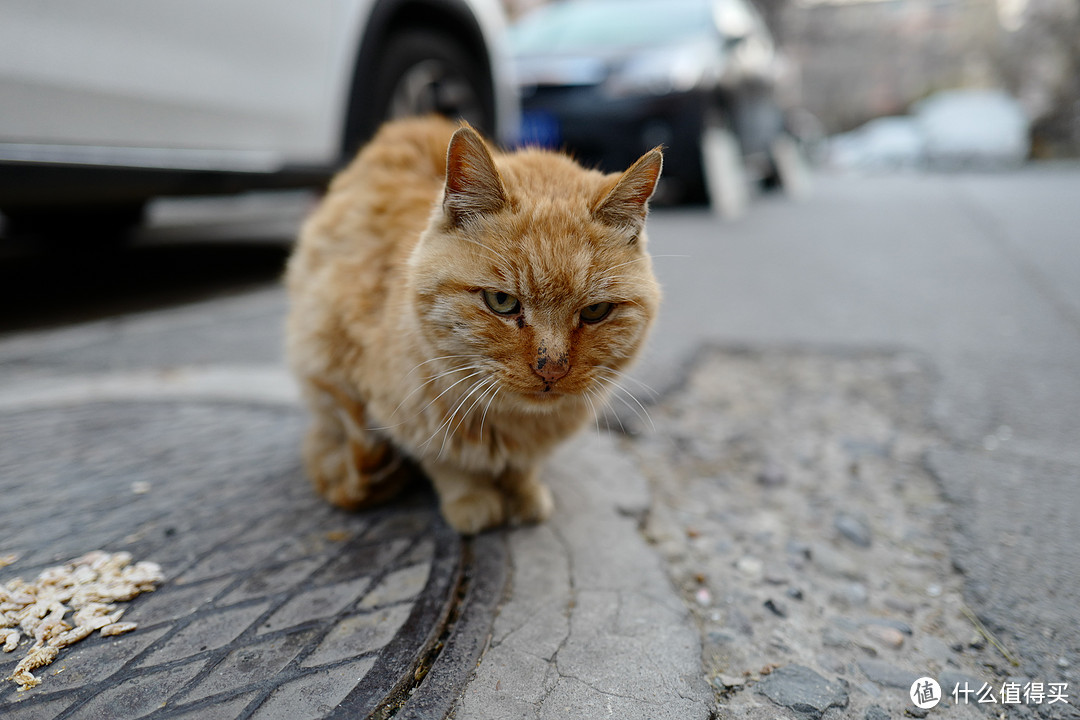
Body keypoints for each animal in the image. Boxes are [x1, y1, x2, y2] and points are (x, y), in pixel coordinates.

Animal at [282, 117, 660, 535]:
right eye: (501, 302)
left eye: (595, 311)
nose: (552, 368)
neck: (510, 424)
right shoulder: (408, 418)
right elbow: (448, 464)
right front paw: (473, 501)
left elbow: (521, 468)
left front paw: (523, 492)